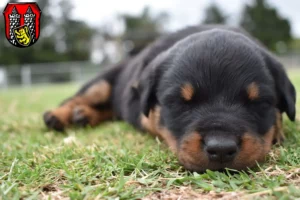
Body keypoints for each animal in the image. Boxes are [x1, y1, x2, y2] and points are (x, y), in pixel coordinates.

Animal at [43, 25, 296, 172]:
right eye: (180, 103)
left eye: (259, 102)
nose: (221, 149)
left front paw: (278, 132)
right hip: (103, 82)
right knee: (84, 96)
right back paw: (60, 115)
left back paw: (83, 116)